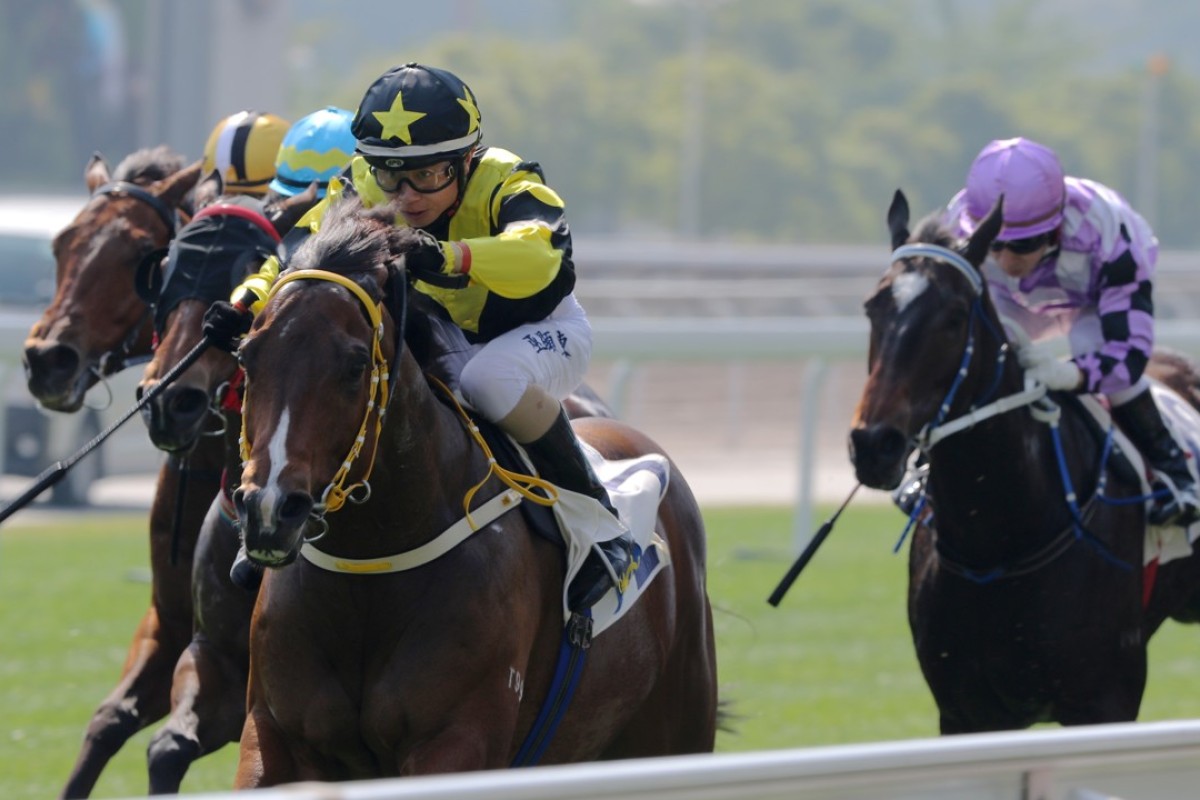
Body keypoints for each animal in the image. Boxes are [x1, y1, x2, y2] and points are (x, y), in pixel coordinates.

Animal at [229, 201, 715, 786]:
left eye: (355, 364)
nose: (270, 510)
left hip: (677, 728)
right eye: (247, 356)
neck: (371, 566)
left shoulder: (457, 740)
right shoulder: (276, 734)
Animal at [849, 190, 1200, 734]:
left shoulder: (1105, 701)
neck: (997, 542)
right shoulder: (966, 712)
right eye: (873, 307)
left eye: (955, 316)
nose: (874, 444)